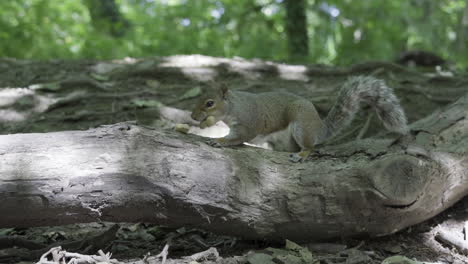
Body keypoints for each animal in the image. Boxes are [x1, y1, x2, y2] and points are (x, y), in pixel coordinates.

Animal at [190, 76, 410, 162]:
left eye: (209, 103)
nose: (192, 116)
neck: (234, 107)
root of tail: (319, 127)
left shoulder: (247, 124)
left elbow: (237, 137)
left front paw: (219, 140)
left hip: (301, 128)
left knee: (310, 147)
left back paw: (301, 155)